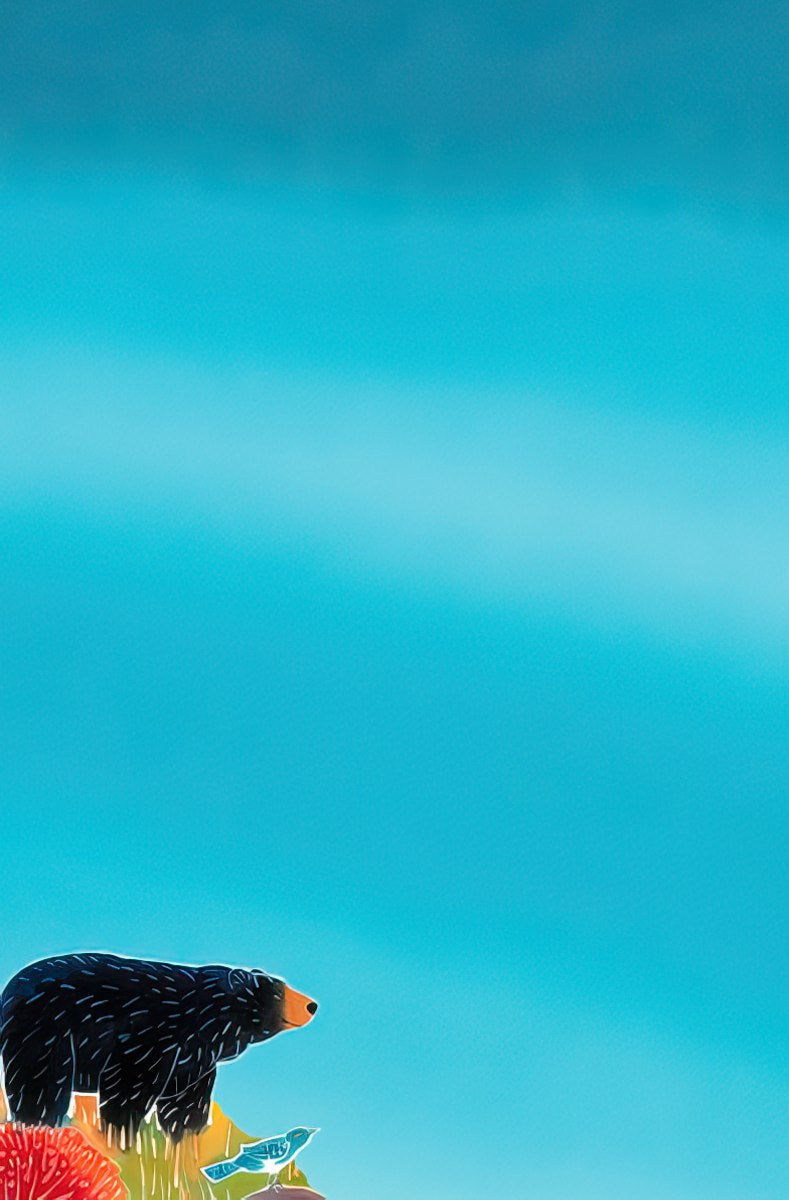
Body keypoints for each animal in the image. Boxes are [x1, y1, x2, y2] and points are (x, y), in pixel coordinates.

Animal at [0, 953, 317, 1142]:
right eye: (277, 990)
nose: (312, 1005)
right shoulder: (147, 1032)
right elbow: (128, 1084)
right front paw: (121, 1136)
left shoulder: (197, 1057)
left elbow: (185, 1100)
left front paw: (184, 1139)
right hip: (43, 1031)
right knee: (40, 1084)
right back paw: (37, 1125)